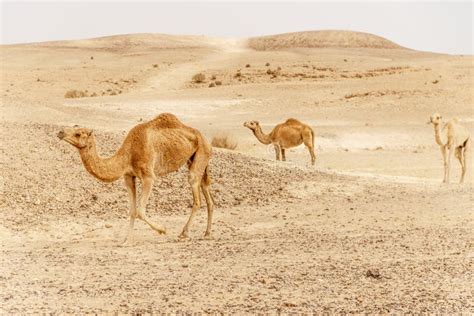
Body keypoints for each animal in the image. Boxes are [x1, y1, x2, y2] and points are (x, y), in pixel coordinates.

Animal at [57, 113, 215, 244]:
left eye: (78, 134)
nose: (60, 132)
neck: (128, 154)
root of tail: (206, 139)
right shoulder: (128, 177)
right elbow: (132, 211)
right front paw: (127, 241)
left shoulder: (148, 177)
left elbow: (140, 211)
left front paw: (162, 229)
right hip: (194, 159)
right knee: (206, 190)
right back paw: (207, 233)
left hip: (201, 153)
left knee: (196, 195)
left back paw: (184, 233)